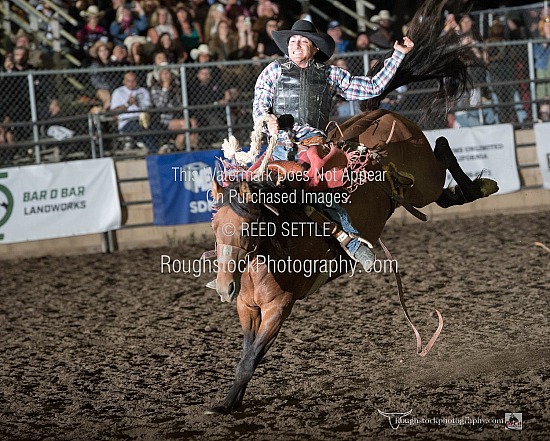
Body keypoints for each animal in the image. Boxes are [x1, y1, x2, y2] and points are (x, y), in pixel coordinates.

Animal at [204, 0, 500, 412]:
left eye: (249, 227)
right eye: (216, 227)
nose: (224, 287)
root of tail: (384, 114)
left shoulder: (280, 307)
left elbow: (251, 358)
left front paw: (227, 403)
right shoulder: (247, 308)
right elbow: (247, 355)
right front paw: (230, 401)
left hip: (424, 179)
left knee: (442, 147)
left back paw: (475, 187)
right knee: (440, 174)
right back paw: (463, 192)